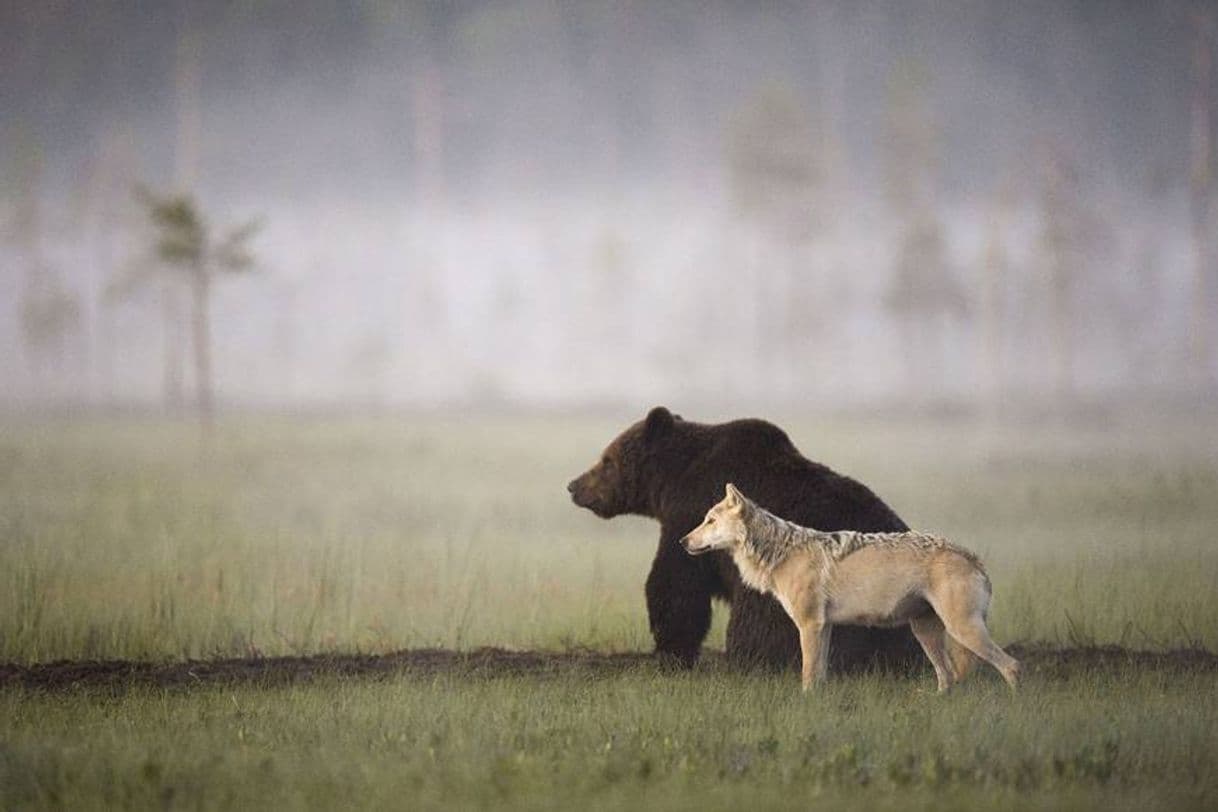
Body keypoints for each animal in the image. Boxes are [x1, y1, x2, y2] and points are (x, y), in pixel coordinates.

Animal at [570, 406, 920, 672]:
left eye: (607, 460)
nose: (574, 485)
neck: (673, 480)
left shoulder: (689, 515)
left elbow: (676, 585)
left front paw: (671, 652)